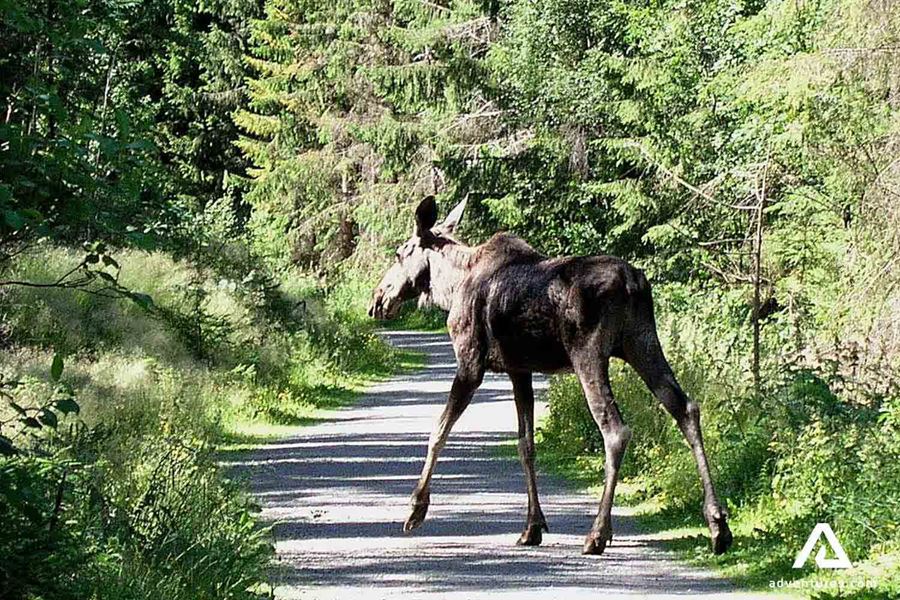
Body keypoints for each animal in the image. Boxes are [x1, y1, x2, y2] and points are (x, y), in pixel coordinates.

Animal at [368, 195, 733, 556]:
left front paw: (416, 508)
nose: (377, 299)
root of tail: (633, 284)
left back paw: (598, 533)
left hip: (589, 354)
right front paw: (532, 526)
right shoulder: (519, 369)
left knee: (615, 429)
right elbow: (525, 444)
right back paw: (718, 524)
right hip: (642, 343)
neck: (451, 285)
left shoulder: (470, 362)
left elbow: (438, 431)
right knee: (686, 409)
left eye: (400, 253)